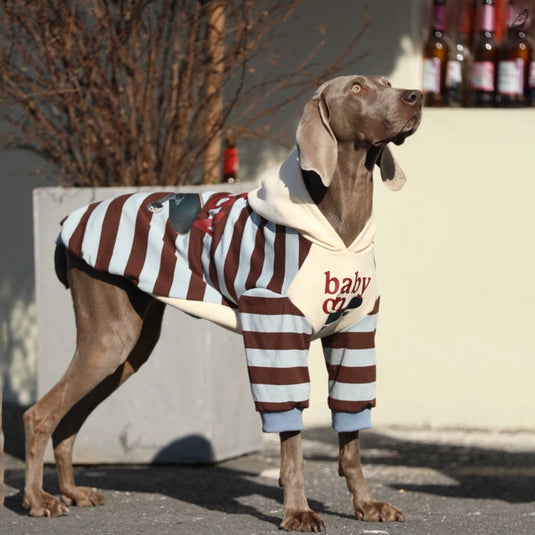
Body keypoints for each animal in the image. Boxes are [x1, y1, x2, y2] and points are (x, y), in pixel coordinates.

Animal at [23, 75, 422, 532]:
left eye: (386, 83)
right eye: (357, 88)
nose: (416, 96)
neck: (340, 217)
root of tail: (71, 220)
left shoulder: (353, 331)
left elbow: (351, 428)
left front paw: (366, 504)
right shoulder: (275, 330)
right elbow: (291, 436)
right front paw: (298, 511)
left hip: (129, 350)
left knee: (68, 418)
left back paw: (72, 492)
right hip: (108, 339)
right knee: (39, 415)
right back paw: (37, 499)